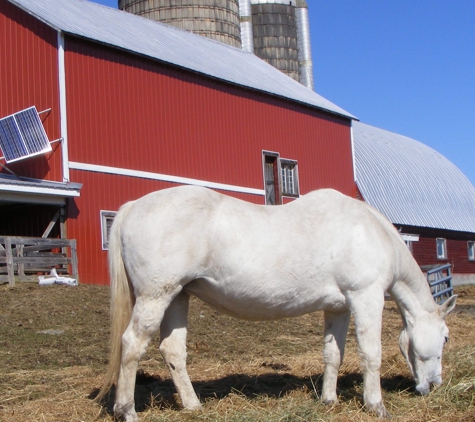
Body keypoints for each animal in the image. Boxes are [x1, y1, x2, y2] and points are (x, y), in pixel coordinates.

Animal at [96, 186, 458, 420]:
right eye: (445, 338)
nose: (433, 385)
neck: (369, 231)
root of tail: (133, 206)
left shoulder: (338, 308)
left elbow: (333, 355)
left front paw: (328, 400)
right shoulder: (365, 298)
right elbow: (371, 355)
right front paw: (375, 405)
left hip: (177, 297)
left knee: (172, 351)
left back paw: (193, 406)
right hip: (157, 296)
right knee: (131, 345)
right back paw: (126, 411)